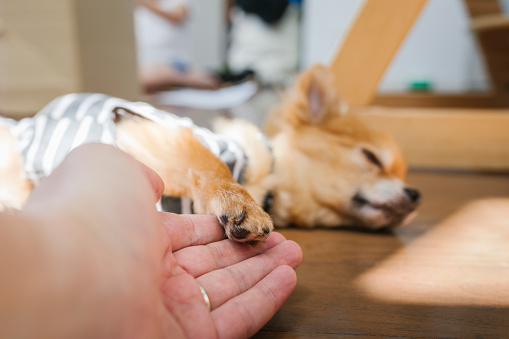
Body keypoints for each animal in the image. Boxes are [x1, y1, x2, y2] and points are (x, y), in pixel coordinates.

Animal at [0, 65, 418, 243]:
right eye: (371, 157)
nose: (416, 194)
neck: (267, 179)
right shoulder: (149, 127)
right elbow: (210, 162)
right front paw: (239, 203)